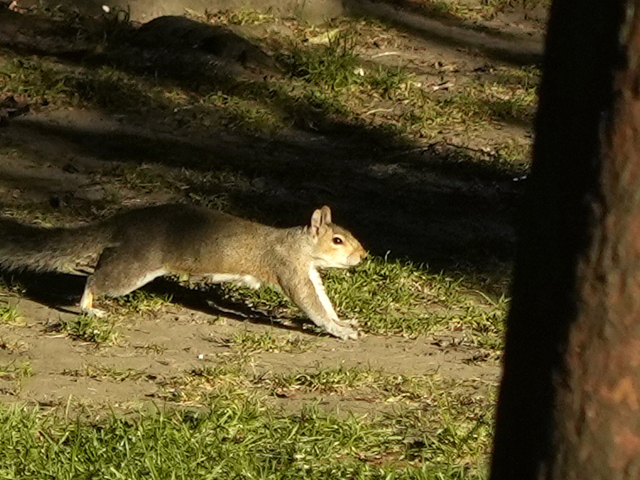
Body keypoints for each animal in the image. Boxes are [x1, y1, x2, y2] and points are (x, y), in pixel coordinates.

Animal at [0, 204, 364, 340]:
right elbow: (310, 304)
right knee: (95, 279)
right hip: (135, 268)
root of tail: (126, 221)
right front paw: (338, 330)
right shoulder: (287, 267)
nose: (363, 255)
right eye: (337, 240)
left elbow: (322, 299)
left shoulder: (308, 272)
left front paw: (344, 321)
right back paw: (89, 308)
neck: (298, 244)